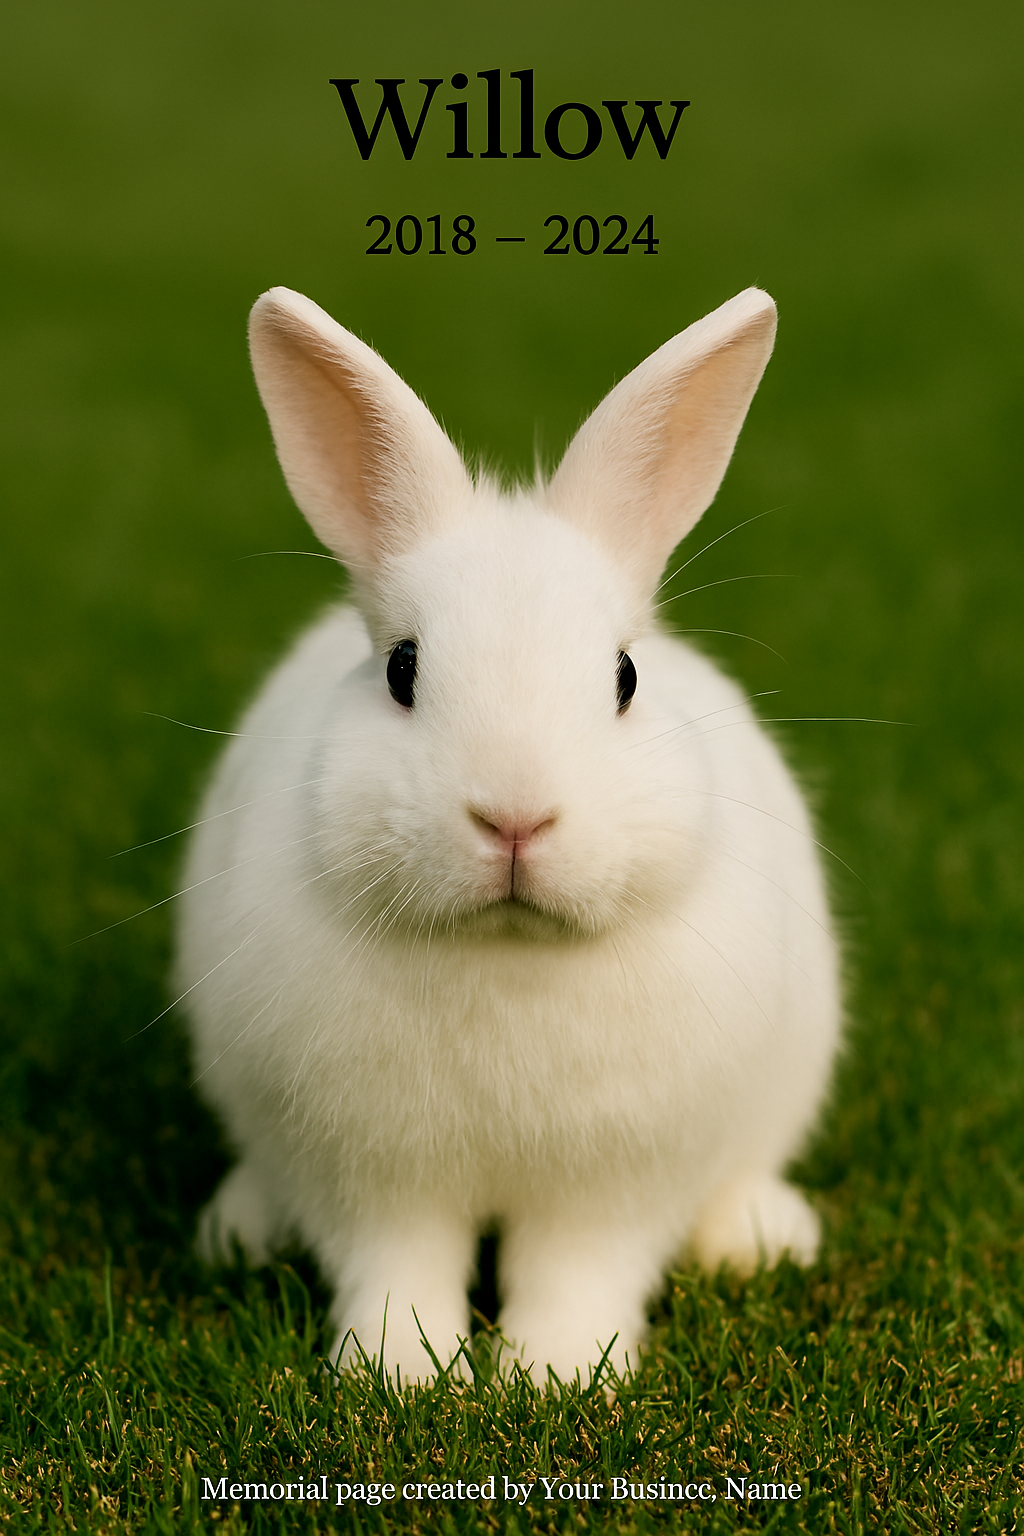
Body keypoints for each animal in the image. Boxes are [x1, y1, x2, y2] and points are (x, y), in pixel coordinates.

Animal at [174, 284, 841, 1386]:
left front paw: (557, 1376)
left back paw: (761, 1236)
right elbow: (395, 1267)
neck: (506, 952)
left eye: (623, 676)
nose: (515, 817)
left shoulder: (613, 1184)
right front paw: (396, 1377)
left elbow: (578, 1274)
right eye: (401, 669)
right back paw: (239, 1228)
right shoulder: (370, 1176)